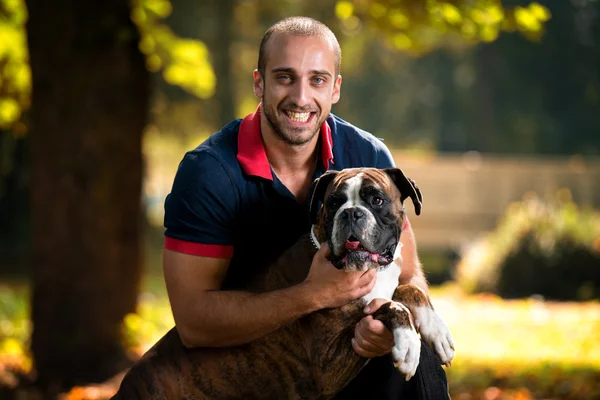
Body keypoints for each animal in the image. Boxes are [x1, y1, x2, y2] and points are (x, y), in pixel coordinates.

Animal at [112, 167, 452, 398]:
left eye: (377, 200)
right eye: (333, 202)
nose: (351, 213)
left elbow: (408, 290)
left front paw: (435, 329)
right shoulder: (328, 366)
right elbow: (390, 306)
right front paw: (408, 344)